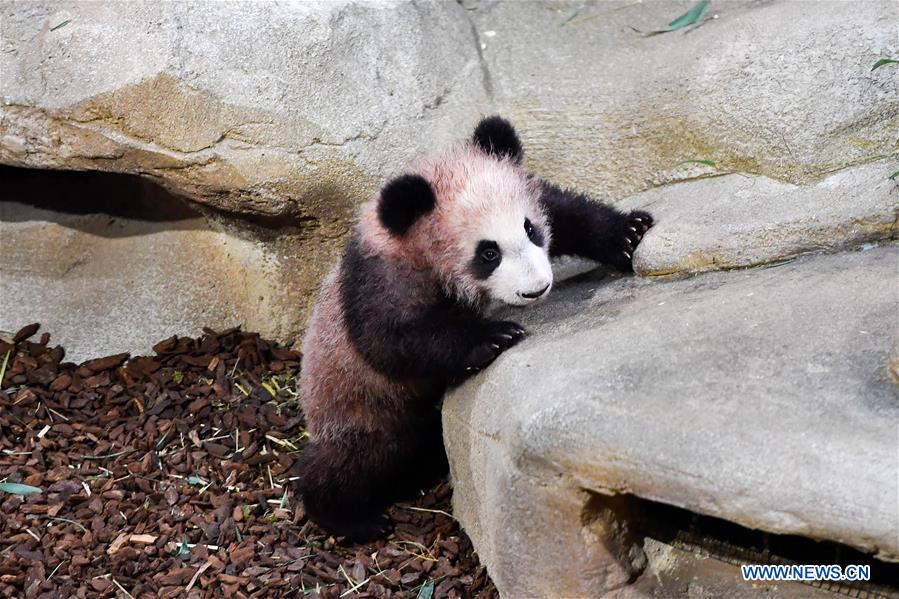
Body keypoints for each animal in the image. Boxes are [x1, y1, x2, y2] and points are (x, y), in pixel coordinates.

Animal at [296, 115, 652, 540]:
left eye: (531, 230)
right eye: (488, 253)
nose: (537, 288)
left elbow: (564, 212)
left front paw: (627, 234)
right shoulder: (381, 278)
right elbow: (388, 339)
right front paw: (495, 336)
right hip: (357, 402)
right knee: (356, 458)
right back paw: (349, 517)